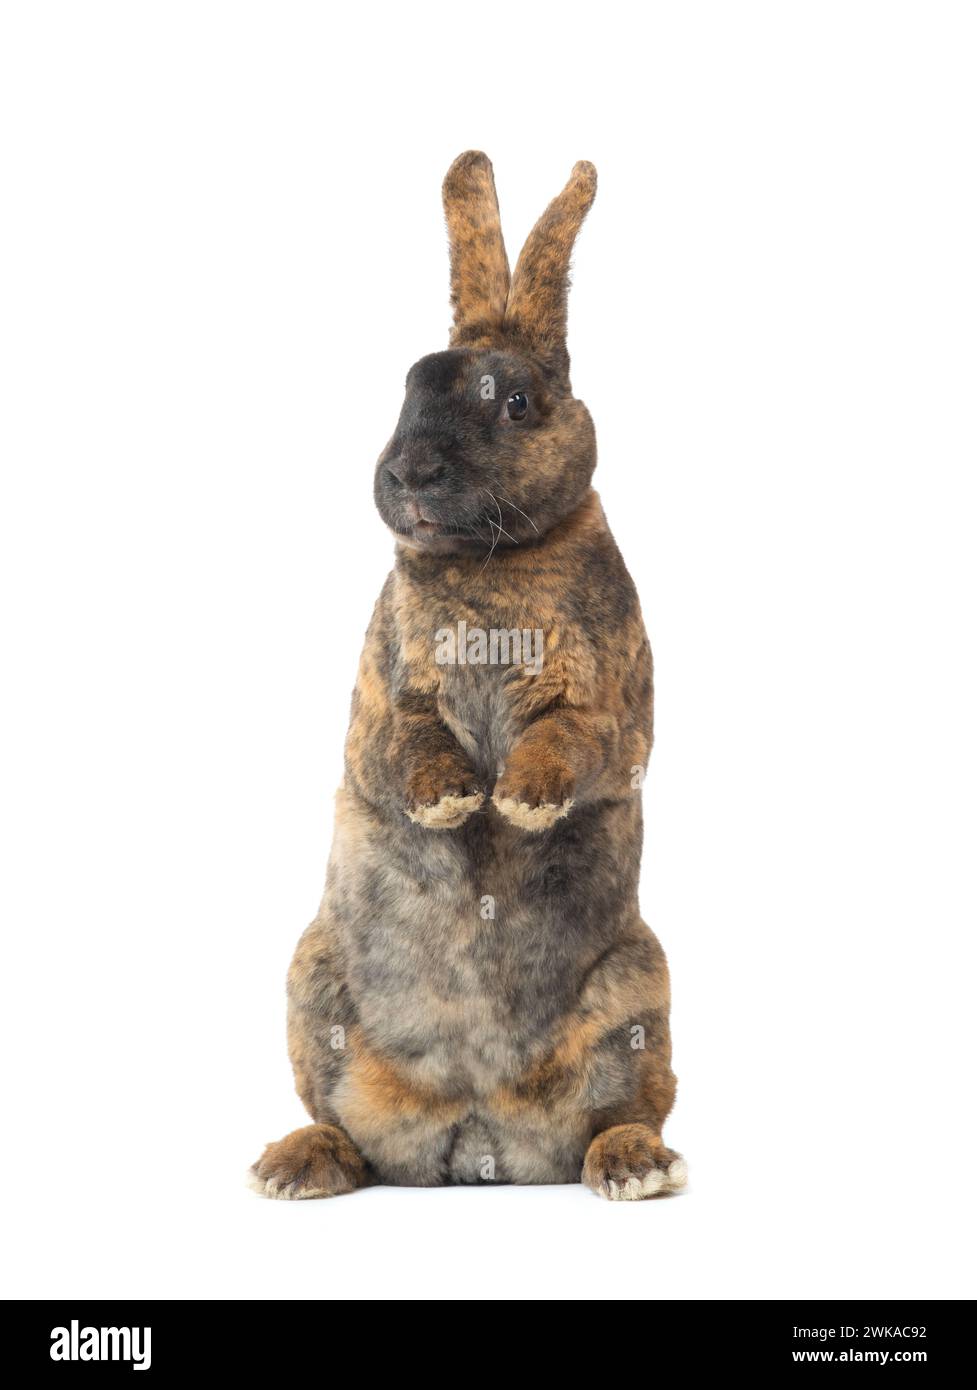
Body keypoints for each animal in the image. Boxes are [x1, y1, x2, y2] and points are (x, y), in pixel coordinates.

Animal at [250, 152, 687, 1202]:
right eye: (408, 388)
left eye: (514, 402)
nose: (408, 472)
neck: (489, 561)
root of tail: (481, 1130)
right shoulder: (389, 696)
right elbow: (408, 743)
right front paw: (454, 799)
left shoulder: (604, 705)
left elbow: (566, 737)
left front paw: (518, 801)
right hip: (311, 986)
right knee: (347, 1131)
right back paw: (296, 1165)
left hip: (640, 995)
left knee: (626, 1113)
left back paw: (633, 1166)